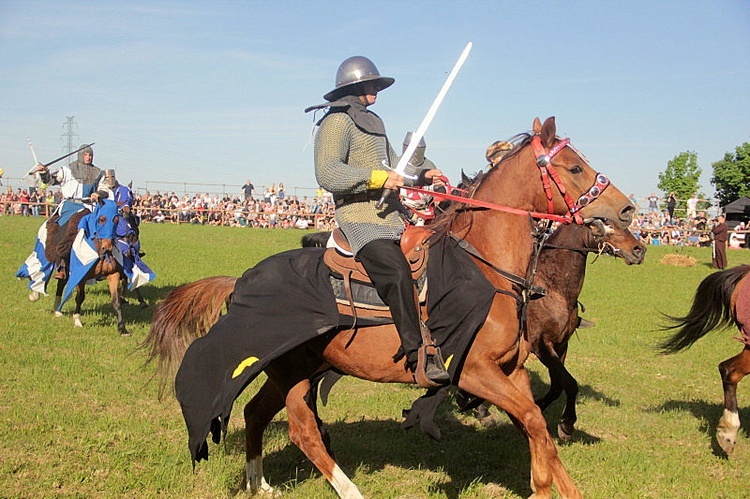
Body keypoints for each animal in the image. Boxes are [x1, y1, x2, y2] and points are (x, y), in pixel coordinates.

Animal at [145, 118, 636, 499]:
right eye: (574, 167)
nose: (629, 210)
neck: (483, 267)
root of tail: (241, 282)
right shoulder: (474, 371)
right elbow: (534, 418)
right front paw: (542, 484)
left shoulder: (511, 370)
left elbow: (537, 427)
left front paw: (556, 483)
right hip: (294, 374)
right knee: (302, 430)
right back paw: (349, 490)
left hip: (295, 369)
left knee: (256, 414)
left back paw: (258, 482)